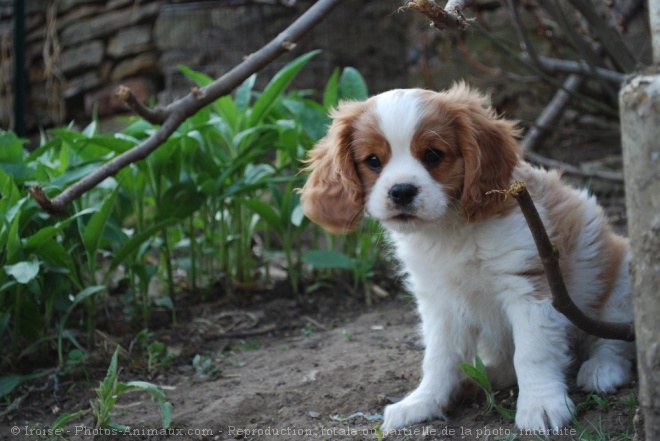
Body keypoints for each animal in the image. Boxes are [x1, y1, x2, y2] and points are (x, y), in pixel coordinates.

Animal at [298, 83, 636, 434]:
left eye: (433, 155)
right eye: (373, 161)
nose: (401, 190)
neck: (448, 229)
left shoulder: (531, 289)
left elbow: (532, 352)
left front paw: (540, 404)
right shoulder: (440, 304)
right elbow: (438, 357)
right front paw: (424, 402)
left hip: (619, 286)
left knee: (615, 342)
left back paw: (601, 370)